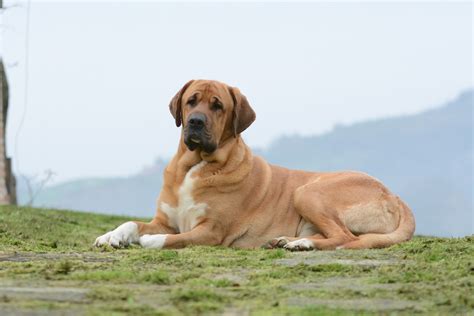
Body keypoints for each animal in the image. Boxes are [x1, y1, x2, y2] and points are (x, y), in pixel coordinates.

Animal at [93, 80, 414, 251]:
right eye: (191, 101)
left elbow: (167, 239)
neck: (195, 165)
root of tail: (394, 195)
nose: (195, 122)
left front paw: (146, 241)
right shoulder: (165, 219)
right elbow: (133, 224)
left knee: (343, 237)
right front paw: (111, 235)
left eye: (217, 105)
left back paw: (301, 244)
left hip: (308, 192)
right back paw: (288, 241)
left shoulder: (210, 231)